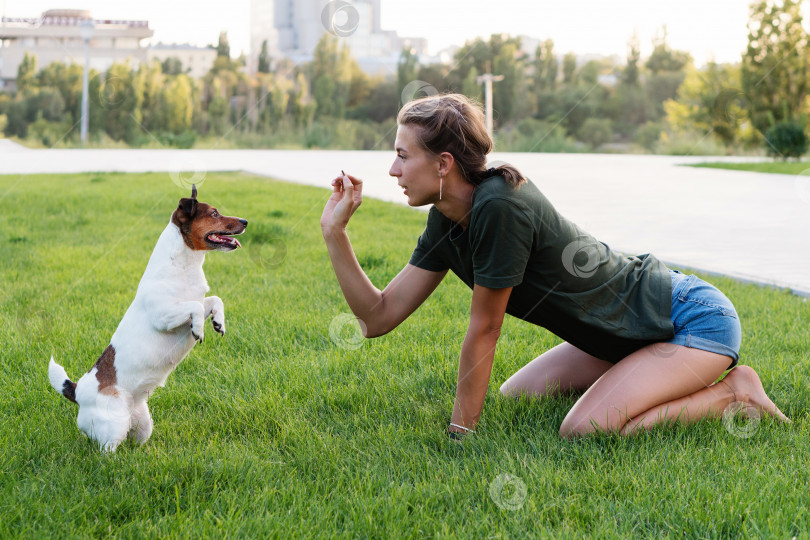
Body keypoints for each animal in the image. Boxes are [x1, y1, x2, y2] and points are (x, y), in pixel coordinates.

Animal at [48, 186, 246, 452]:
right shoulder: (164, 316)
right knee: (106, 451)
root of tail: (78, 392)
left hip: (143, 425)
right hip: (114, 426)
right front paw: (198, 329)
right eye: (214, 213)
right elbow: (194, 307)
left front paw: (218, 322)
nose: (245, 222)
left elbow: (214, 300)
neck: (182, 266)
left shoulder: (197, 300)